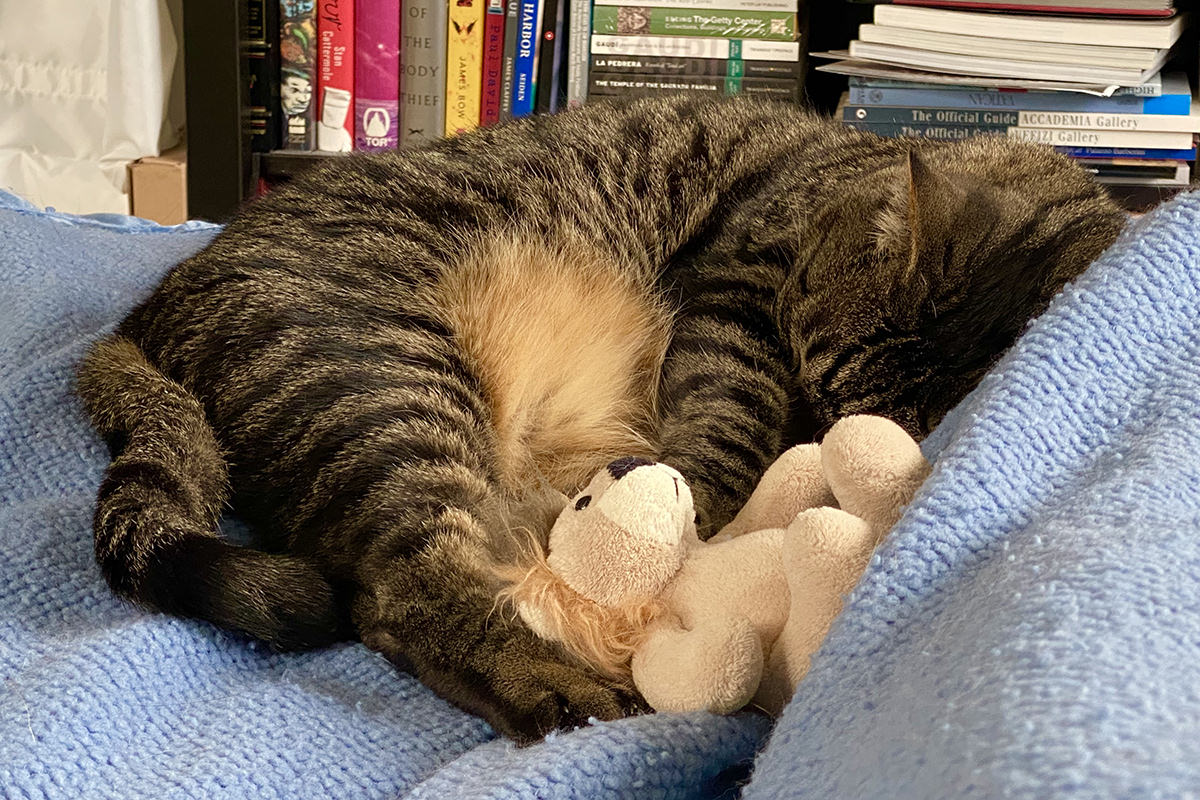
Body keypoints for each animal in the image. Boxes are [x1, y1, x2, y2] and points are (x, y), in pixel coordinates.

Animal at [75, 95, 1123, 743]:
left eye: (841, 416)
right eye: (813, 387)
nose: (818, 430)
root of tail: (146, 311)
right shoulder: (737, 292)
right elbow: (728, 424)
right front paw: (691, 510)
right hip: (386, 385)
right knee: (400, 599)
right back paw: (558, 679)